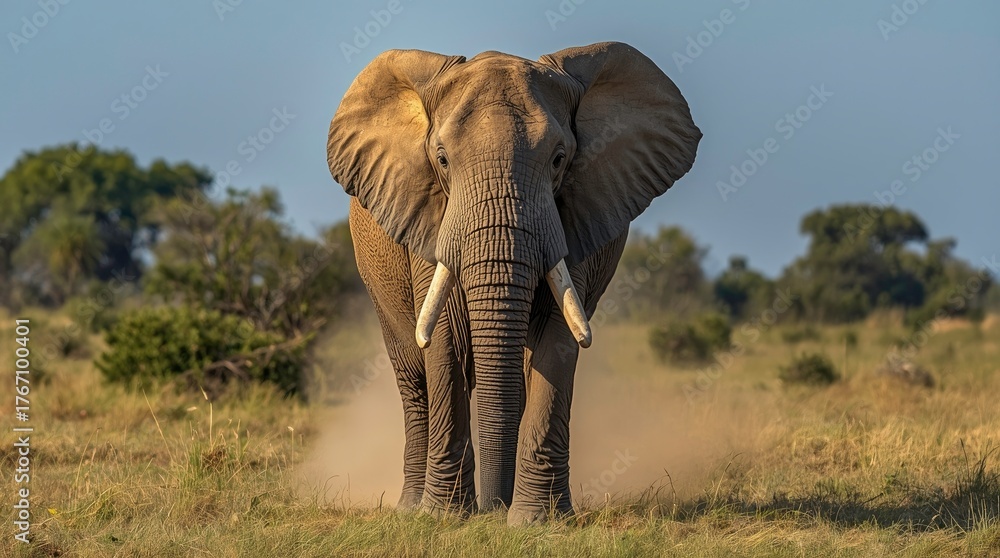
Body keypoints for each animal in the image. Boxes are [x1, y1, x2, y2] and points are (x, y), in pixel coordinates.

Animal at [327, 41, 700, 525]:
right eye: (441, 159)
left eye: (559, 159)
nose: (491, 508)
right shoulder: (429, 219)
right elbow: (445, 336)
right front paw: (444, 518)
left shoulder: (572, 217)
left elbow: (558, 337)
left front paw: (537, 521)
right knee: (415, 378)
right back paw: (411, 508)